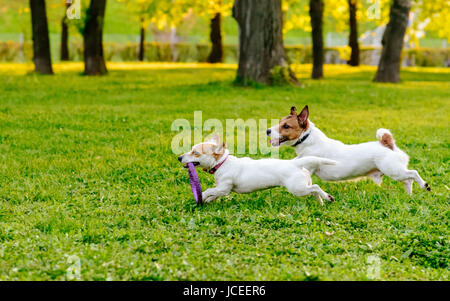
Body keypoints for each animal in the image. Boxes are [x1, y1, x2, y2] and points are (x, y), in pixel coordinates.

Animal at [178, 134, 336, 204]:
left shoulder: (224, 187)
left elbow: (210, 190)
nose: (179, 158)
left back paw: (327, 197)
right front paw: (206, 200)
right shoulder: (222, 190)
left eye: (195, 153)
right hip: (303, 185)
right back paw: (321, 202)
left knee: (315, 187)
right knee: (313, 189)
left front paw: (202, 196)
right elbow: (214, 194)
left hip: (297, 188)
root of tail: (295, 163)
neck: (222, 163)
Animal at [266, 105, 430, 195]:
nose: (267, 131)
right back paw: (409, 195)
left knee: (413, 174)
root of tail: (387, 143)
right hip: (397, 172)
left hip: (393, 170)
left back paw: (424, 185)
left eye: (286, 126)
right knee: (408, 180)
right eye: (280, 122)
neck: (307, 139)